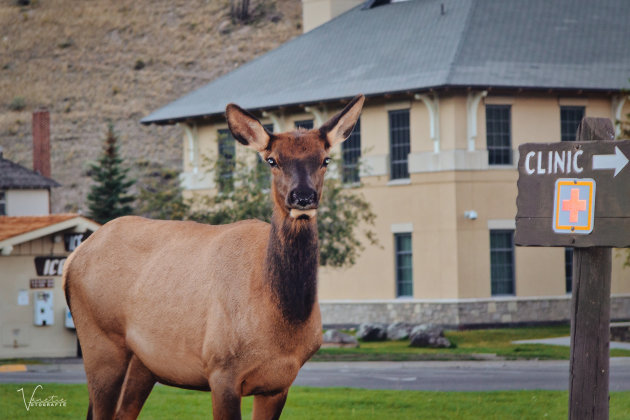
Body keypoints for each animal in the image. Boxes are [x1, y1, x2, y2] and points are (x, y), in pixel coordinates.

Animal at [63, 93, 366, 418]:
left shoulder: (279, 383)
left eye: (325, 159)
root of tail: (73, 258)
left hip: (143, 363)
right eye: (272, 160)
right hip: (100, 342)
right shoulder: (221, 370)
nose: (303, 197)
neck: (283, 321)